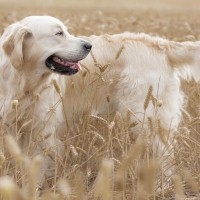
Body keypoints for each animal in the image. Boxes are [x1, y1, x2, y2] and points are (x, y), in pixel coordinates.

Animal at [0, 15, 199, 191]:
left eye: (65, 31)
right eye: (59, 33)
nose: (89, 45)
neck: (23, 81)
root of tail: (161, 44)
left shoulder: (42, 131)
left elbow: (35, 167)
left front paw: (30, 191)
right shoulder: (15, 128)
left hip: (143, 117)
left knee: (165, 154)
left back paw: (161, 187)